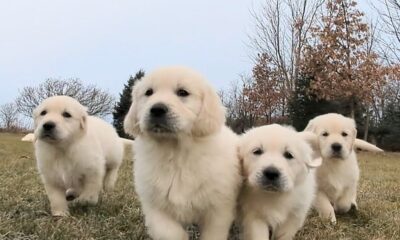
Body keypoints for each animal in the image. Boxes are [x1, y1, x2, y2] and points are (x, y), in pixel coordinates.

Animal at [123, 66, 241, 240]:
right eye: (148, 92)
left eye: (183, 92)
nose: (157, 109)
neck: (176, 152)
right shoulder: (156, 207)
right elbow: (170, 233)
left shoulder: (218, 209)